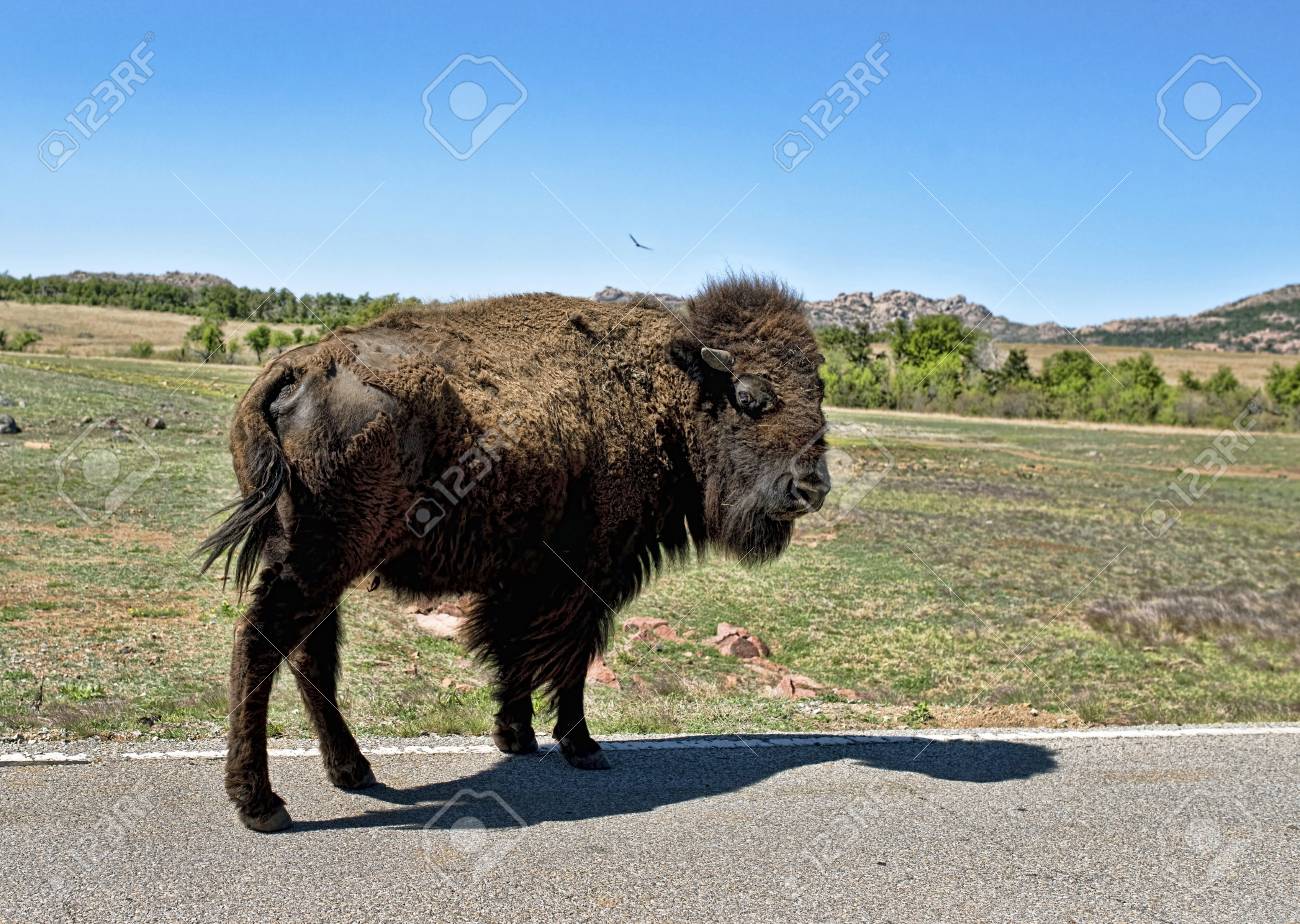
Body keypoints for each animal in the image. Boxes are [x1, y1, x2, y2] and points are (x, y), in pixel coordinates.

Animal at [201, 274, 831, 831]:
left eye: (819, 394)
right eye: (751, 397)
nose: (813, 487)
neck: (672, 388)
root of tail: (293, 370)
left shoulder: (523, 578)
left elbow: (514, 653)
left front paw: (515, 736)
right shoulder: (588, 577)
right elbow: (568, 660)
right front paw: (583, 747)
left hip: (318, 568)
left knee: (308, 655)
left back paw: (352, 771)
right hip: (317, 564)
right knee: (259, 645)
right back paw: (262, 805)